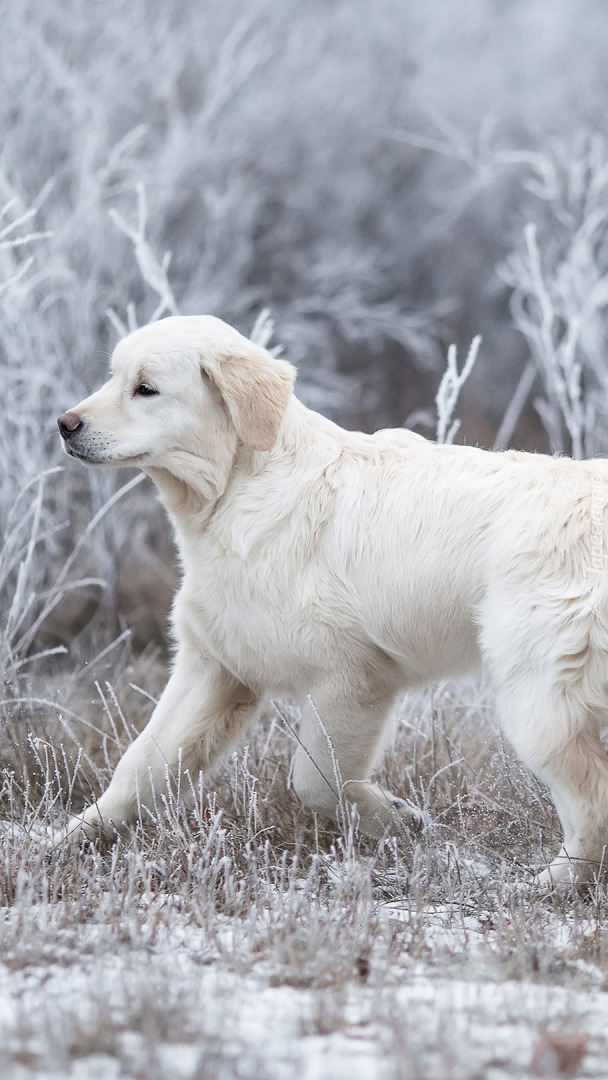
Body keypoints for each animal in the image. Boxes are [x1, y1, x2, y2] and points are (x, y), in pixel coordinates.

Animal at [54, 315, 608, 885]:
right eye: (115, 377)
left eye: (146, 389)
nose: (64, 424)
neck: (237, 490)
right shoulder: (216, 668)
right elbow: (138, 769)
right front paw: (55, 846)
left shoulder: (349, 677)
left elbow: (316, 781)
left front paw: (395, 818)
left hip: (536, 698)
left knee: (593, 804)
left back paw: (550, 884)